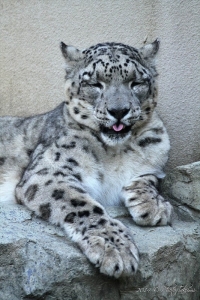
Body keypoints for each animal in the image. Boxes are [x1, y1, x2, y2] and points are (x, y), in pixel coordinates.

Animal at [0, 40, 172, 278]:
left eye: (136, 82)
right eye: (95, 84)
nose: (119, 110)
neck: (116, 152)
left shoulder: (156, 161)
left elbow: (148, 178)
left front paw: (154, 205)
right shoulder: (49, 171)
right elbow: (81, 204)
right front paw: (115, 247)